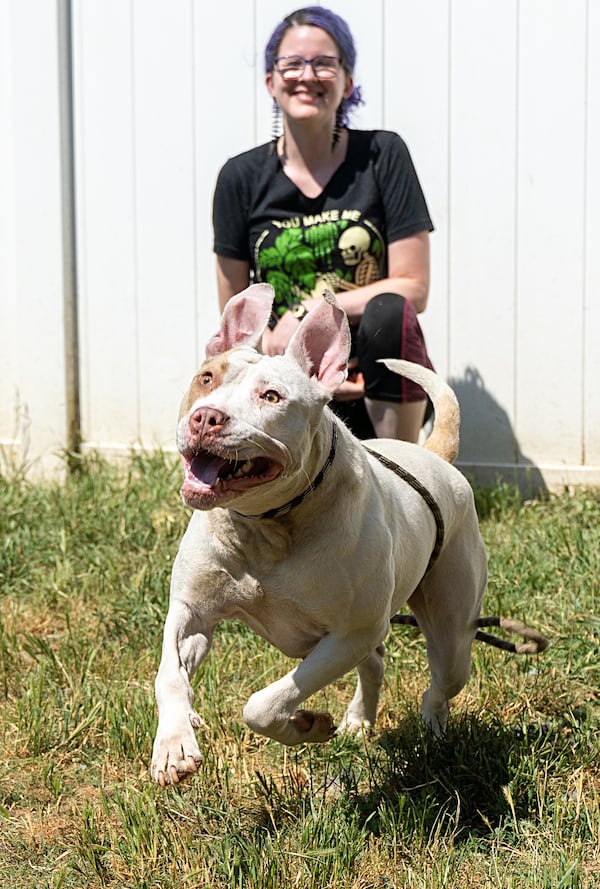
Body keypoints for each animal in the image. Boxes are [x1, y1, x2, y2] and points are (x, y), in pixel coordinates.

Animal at [150, 282, 488, 784]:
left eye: (272, 396)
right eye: (207, 378)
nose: (206, 418)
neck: (266, 526)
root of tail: (435, 457)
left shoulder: (347, 634)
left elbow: (264, 703)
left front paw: (305, 725)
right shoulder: (191, 612)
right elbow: (168, 674)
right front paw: (174, 743)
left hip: (451, 634)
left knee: (439, 682)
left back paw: (431, 731)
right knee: (376, 661)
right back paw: (360, 720)